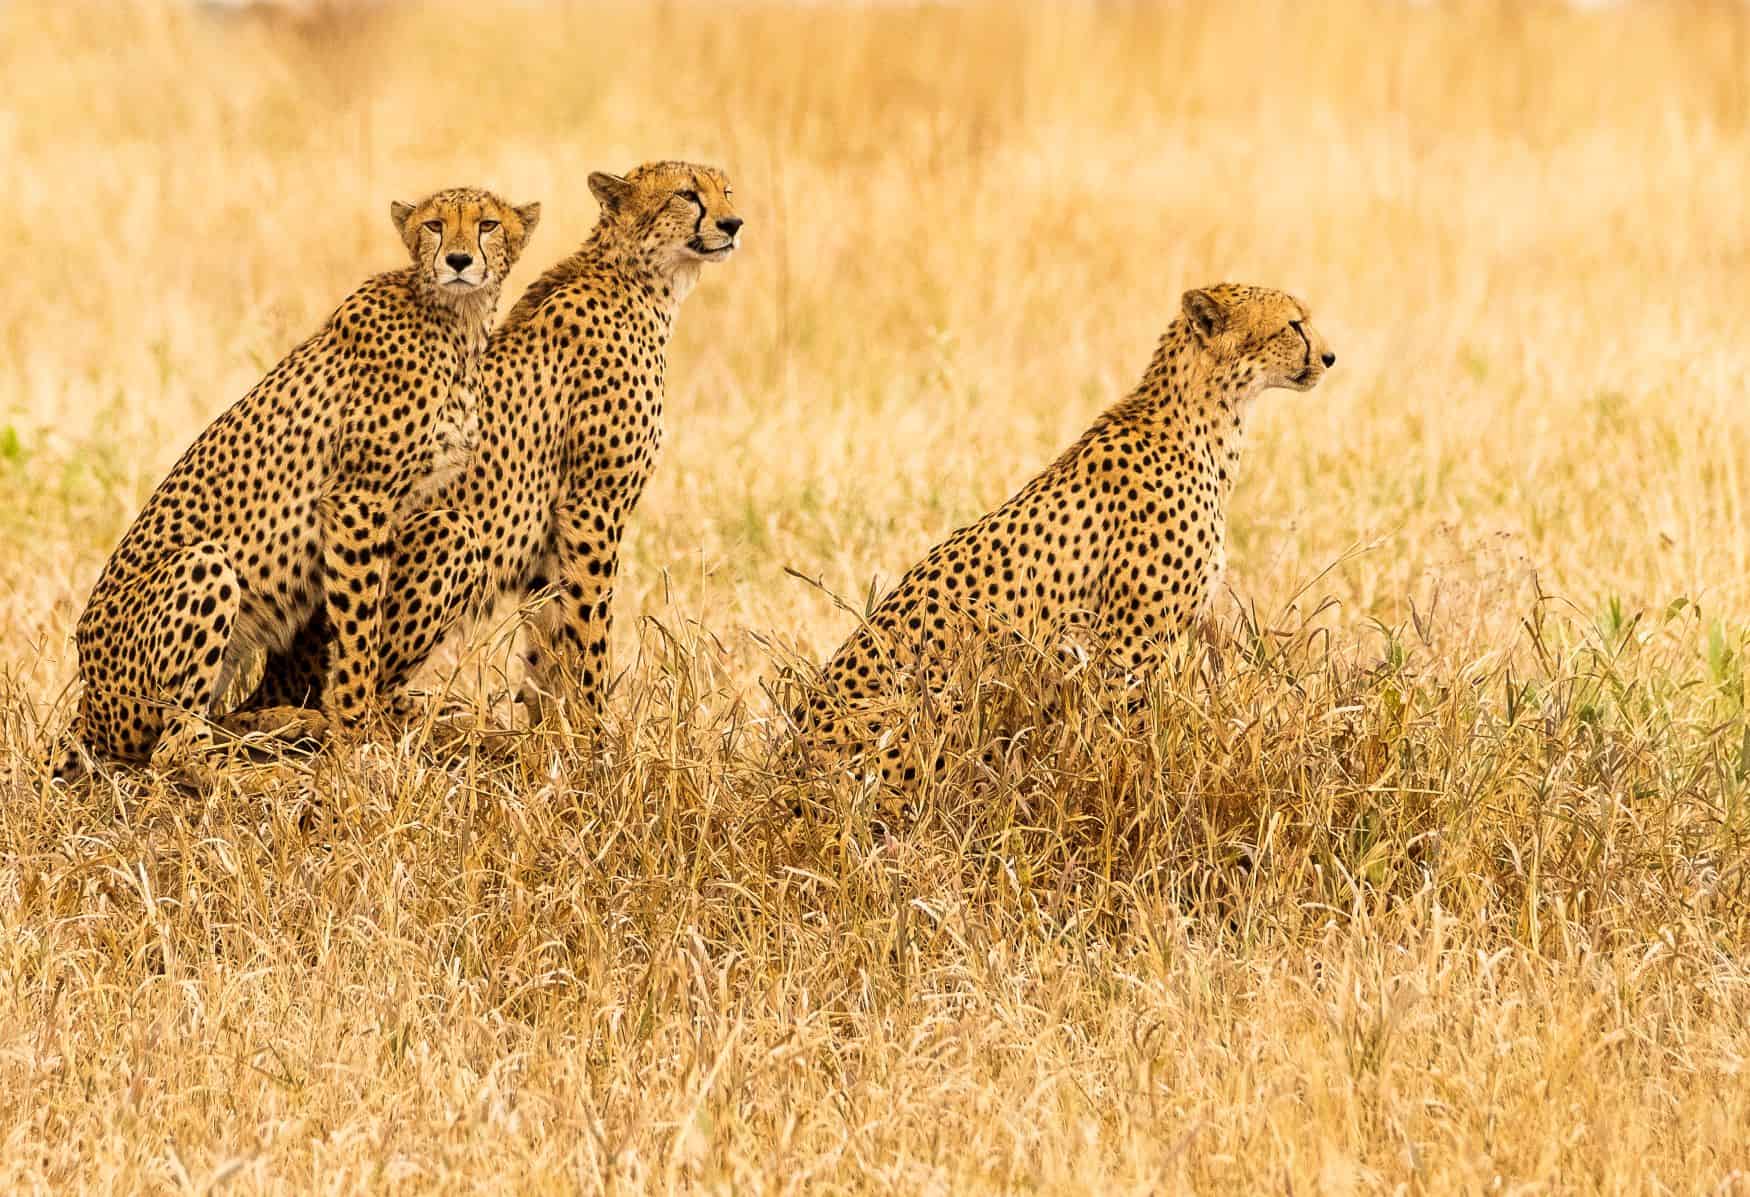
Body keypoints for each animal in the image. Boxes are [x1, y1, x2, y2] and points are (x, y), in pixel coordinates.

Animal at [57, 187, 540, 785]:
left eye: (488, 224)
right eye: (434, 225)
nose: (456, 260)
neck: (456, 320)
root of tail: (86, 701)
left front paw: (372, 721)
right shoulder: (357, 500)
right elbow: (357, 632)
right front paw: (358, 737)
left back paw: (287, 724)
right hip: (202, 566)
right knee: (172, 751)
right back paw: (262, 770)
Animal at [233, 161, 742, 730]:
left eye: (726, 191)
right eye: (686, 194)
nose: (733, 223)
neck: (642, 279)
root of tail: (265, 685)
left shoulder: (552, 533)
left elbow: (549, 636)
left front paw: (550, 730)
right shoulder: (592, 505)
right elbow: (590, 625)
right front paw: (593, 727)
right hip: (445, 534)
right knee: (361, 681)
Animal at [794, 283, 1335, 795]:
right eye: (1294, 324)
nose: (1330, 357)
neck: (1206, 419)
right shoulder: (1128, 647)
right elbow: (1130, 739)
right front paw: (1142, 788)